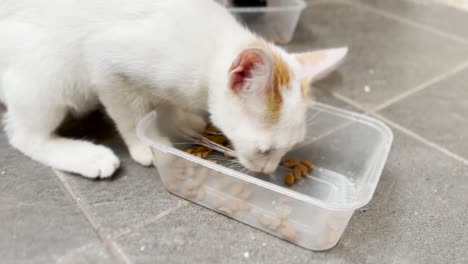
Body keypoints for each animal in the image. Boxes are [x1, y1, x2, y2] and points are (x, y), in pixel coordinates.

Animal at [0, 0, 346, 178]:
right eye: (264, 150)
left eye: (290, 147)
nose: (268, 170)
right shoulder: (105, 62)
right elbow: (128, 114)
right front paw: (144, 145)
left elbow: (164, 102)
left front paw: (180, 118)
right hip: (50, 74)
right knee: (24, 136)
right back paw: (87, 157)